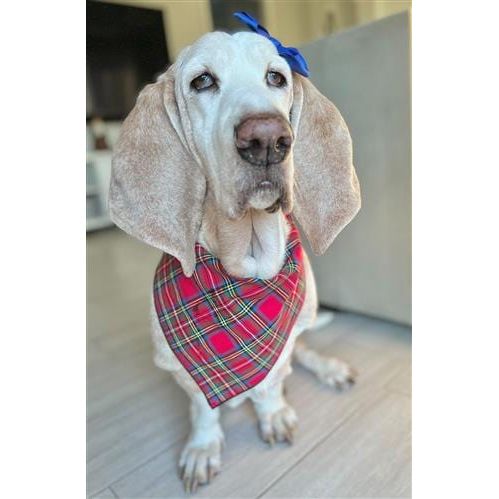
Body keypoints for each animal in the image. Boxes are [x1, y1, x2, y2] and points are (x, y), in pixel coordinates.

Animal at [109, 28, 362, 492]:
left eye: (276, 77)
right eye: (202, 81)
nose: (267, 140)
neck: (246, 269)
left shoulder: (283, 343)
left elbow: (272, 385)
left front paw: (273, 414)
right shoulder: (178, 369)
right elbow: (202, 408)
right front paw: (203, 447)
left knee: (304, 354)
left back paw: (331, 369)